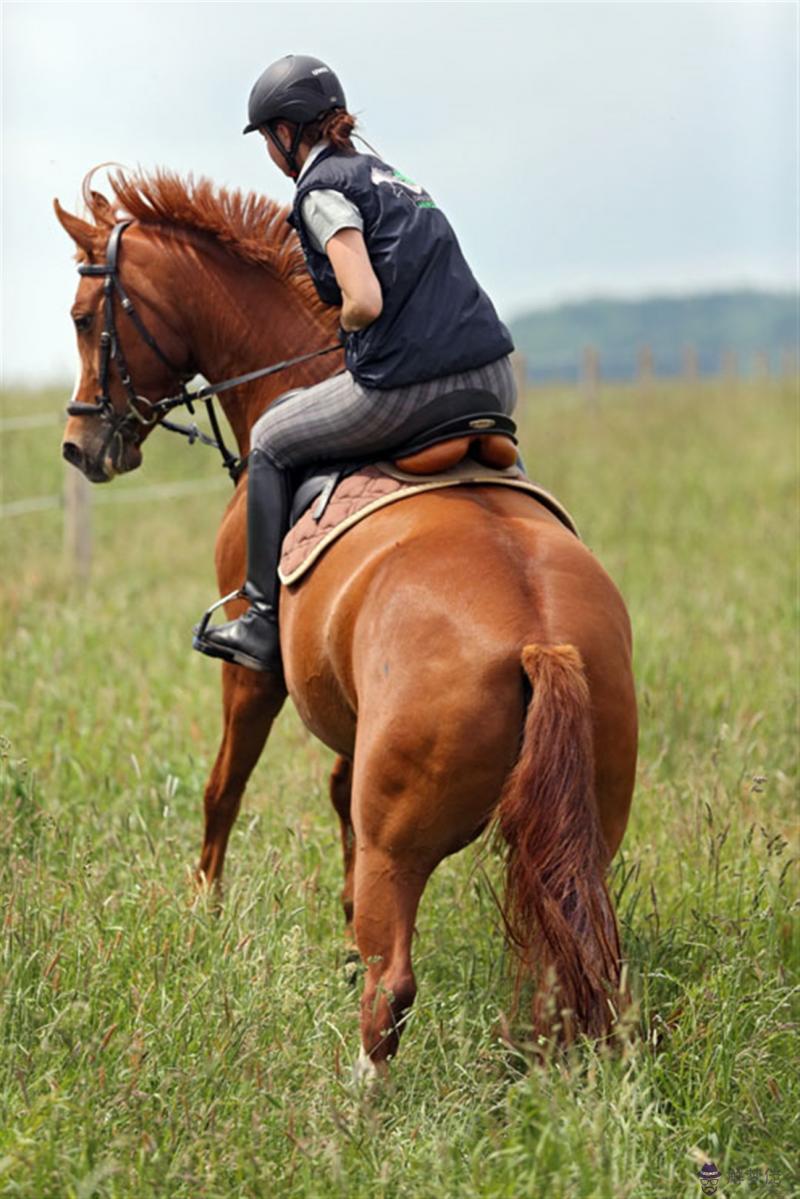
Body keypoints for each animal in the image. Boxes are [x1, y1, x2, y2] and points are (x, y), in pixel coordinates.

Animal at [54, 171, 638, 1079]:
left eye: (86, 317)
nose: (81, 447)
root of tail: (541, 640)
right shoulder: (352, 712)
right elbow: (334, 795)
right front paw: (332, 910)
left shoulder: (252, 674)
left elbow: (223, 787)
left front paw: (202, 909)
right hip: (581, 831)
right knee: (566, 969)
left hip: (408, 839)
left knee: (392, 982)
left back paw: (358, 1095)